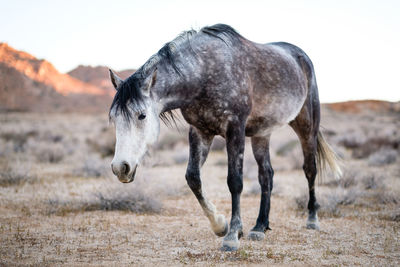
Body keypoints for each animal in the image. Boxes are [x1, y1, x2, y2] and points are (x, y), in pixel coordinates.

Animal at [108, 24, 342, 252]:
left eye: (142, 115)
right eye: (113, 118)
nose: (121, 168)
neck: (204, 73)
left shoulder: (235, 129)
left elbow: (235, 181)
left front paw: (232, 236)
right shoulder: (200, 131)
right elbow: (193, 178)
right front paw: (221, 225)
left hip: (306, 126)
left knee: (310, 169)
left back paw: (312, 219)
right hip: (261, 134)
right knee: (266, 174)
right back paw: (260, 227)